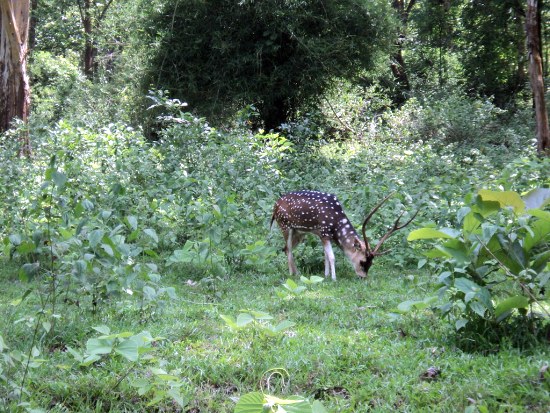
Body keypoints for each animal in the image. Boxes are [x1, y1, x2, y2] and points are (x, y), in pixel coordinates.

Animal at [272, 190, 418, 280]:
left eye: (371, 263)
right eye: (362, 261)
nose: (362, 277)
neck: (336, 225)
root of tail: (275, 206)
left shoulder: (321, 234)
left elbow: (325, 256)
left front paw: (326, 275)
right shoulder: (324, 231)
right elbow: (332, 256)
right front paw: (333, 278)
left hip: (299, 232)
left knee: (285, 248)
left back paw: (296, 272)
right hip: (285, 225)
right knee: (288, 249)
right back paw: (293, 274)